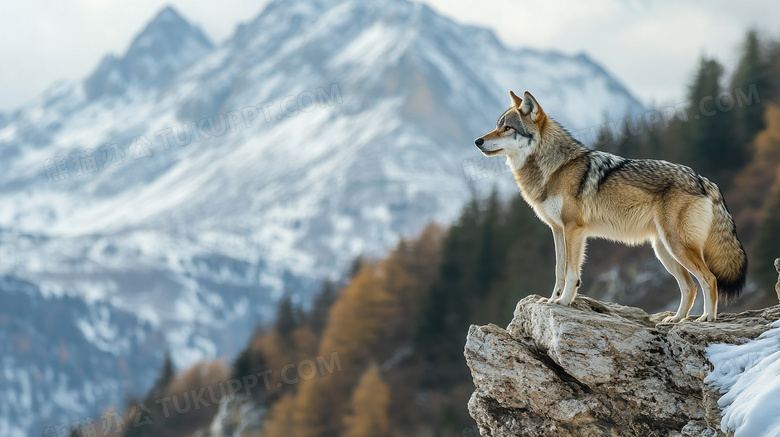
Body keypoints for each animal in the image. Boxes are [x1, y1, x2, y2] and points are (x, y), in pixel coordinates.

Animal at [476, 91, 748, 320]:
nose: (477, 141)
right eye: (497, 125)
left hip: (677, 247)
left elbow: (571, 272)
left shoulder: (573, 228)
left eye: (507, 128)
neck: (556, 167)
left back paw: (707, 318)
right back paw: (676, 320)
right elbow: (558, 270)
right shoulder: (557, 230)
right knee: (690, 287)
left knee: (709, 279)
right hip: (664, 251)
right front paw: (552, 299)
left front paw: (563, 302)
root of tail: (705, 180)